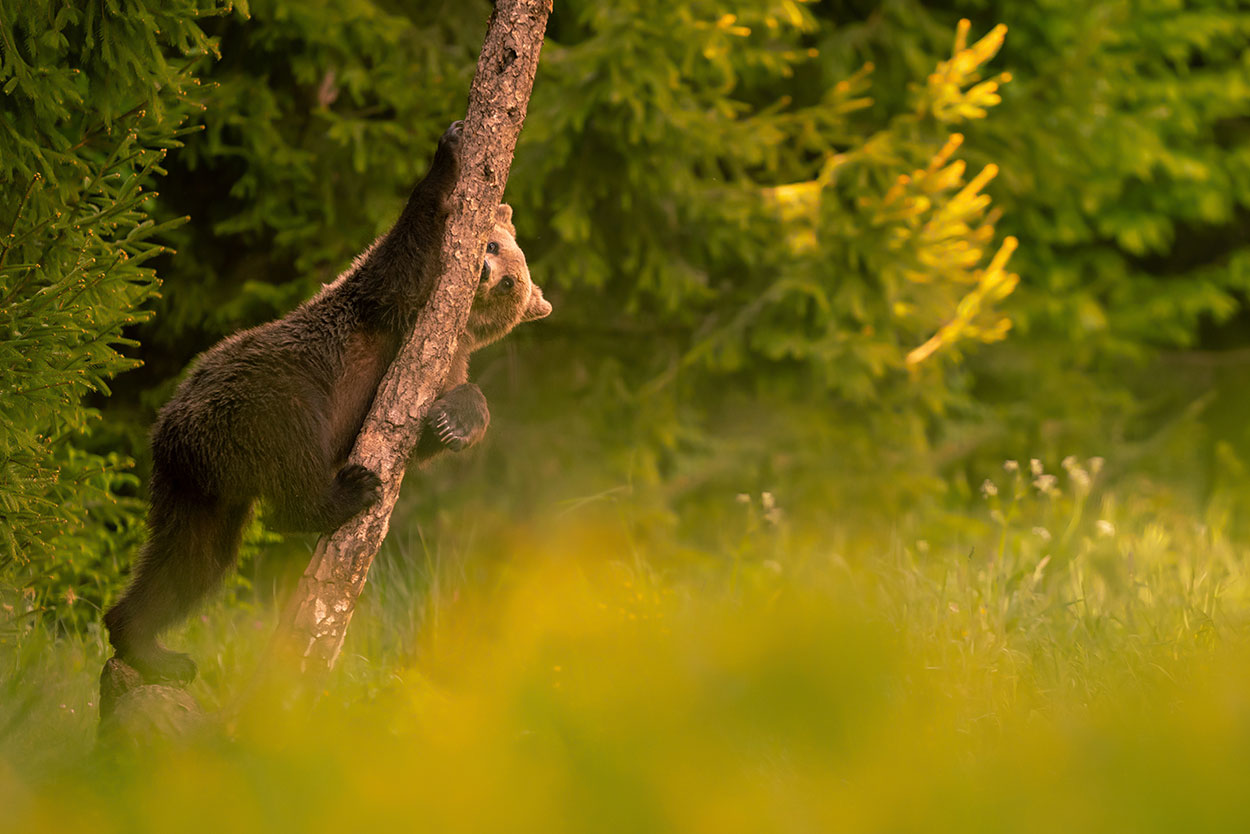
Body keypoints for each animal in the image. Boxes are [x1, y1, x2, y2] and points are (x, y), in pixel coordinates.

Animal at [97, 123, 547, 685]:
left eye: (511, 280)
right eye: (491, 243)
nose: (486, 272)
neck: (453, 329)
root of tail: (175, 425)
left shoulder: (441, 361)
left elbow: (426, 426)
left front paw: (456, 422)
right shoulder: (381, 308)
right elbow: (404, 257)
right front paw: (450, 153)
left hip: (203, 485)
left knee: (190, 561)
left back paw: (150, 646)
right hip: (268, 396)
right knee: (287, 471)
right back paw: (350, 491)